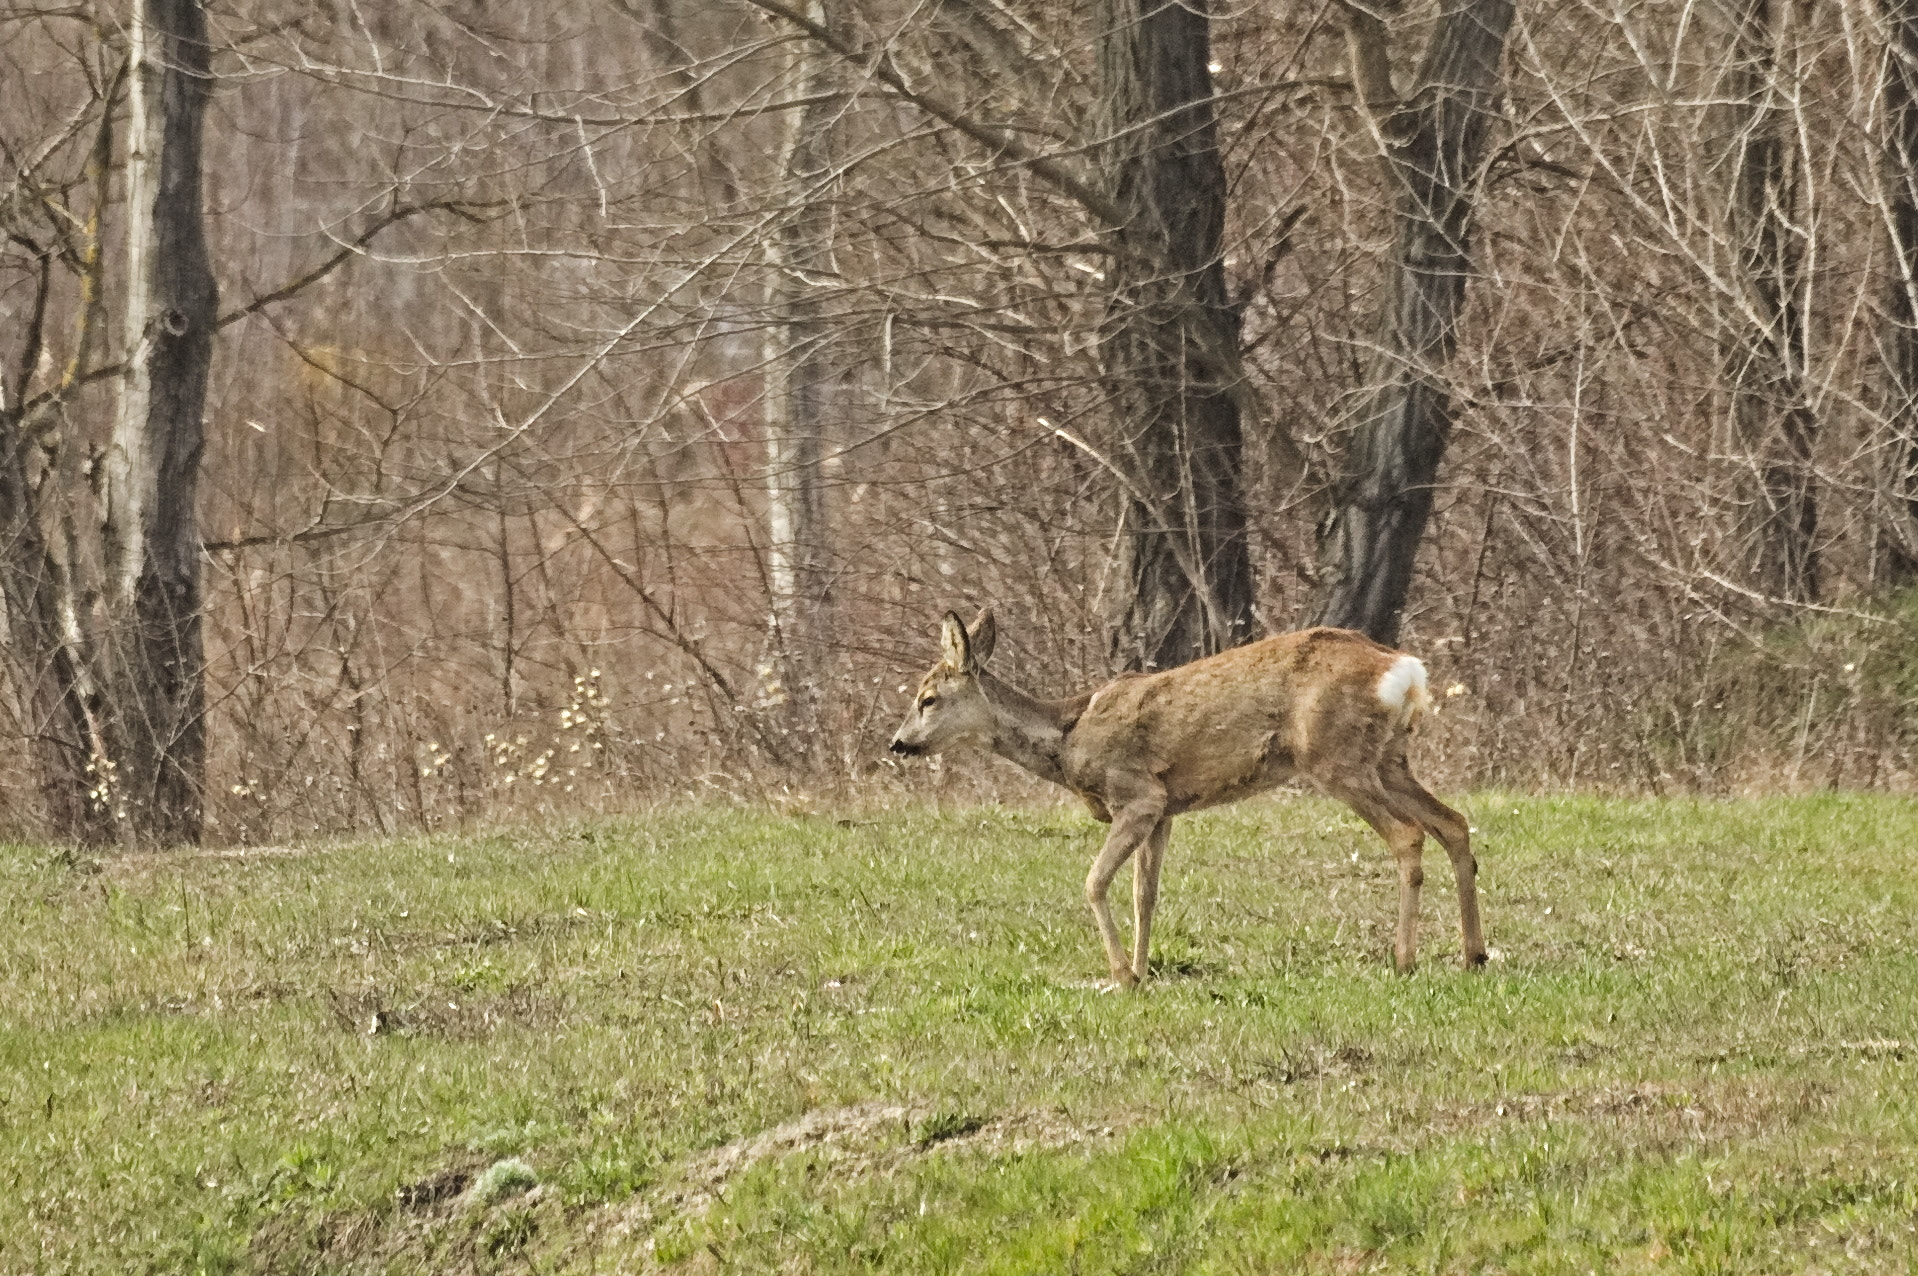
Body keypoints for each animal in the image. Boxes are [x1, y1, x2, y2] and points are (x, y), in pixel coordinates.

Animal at [882, 606, 1480, 982]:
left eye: (928, 699)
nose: (898, 743)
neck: (1068, 737)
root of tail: (1404, 671)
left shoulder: (1137, 795)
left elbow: (1095, 882)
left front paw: (1121, 975)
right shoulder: (1165, 811)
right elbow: (1145, 894)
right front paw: (1143, 970)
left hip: (1336, 758)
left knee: (1408, 835)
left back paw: (1404, 960)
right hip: (1388, 759)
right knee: (1452, 823)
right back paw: (1474, 954)